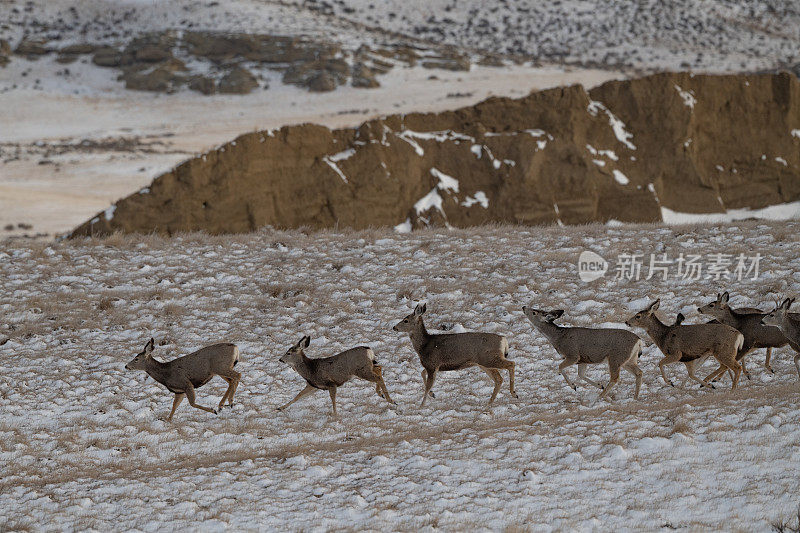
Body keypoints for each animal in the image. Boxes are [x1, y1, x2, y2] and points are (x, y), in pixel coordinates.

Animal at [620, 300, 748, 390]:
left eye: (638, 316)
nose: (627, 322)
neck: (664, 336)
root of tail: (740, 335)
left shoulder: (676, 353)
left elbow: (660, 363)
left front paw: (670, 382)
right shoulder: (688, 359)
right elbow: (692, 374)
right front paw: (709, 386)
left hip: (724, 352)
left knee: (737, 367)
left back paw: (733, 389)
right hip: (721, 353)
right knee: (727, 366)